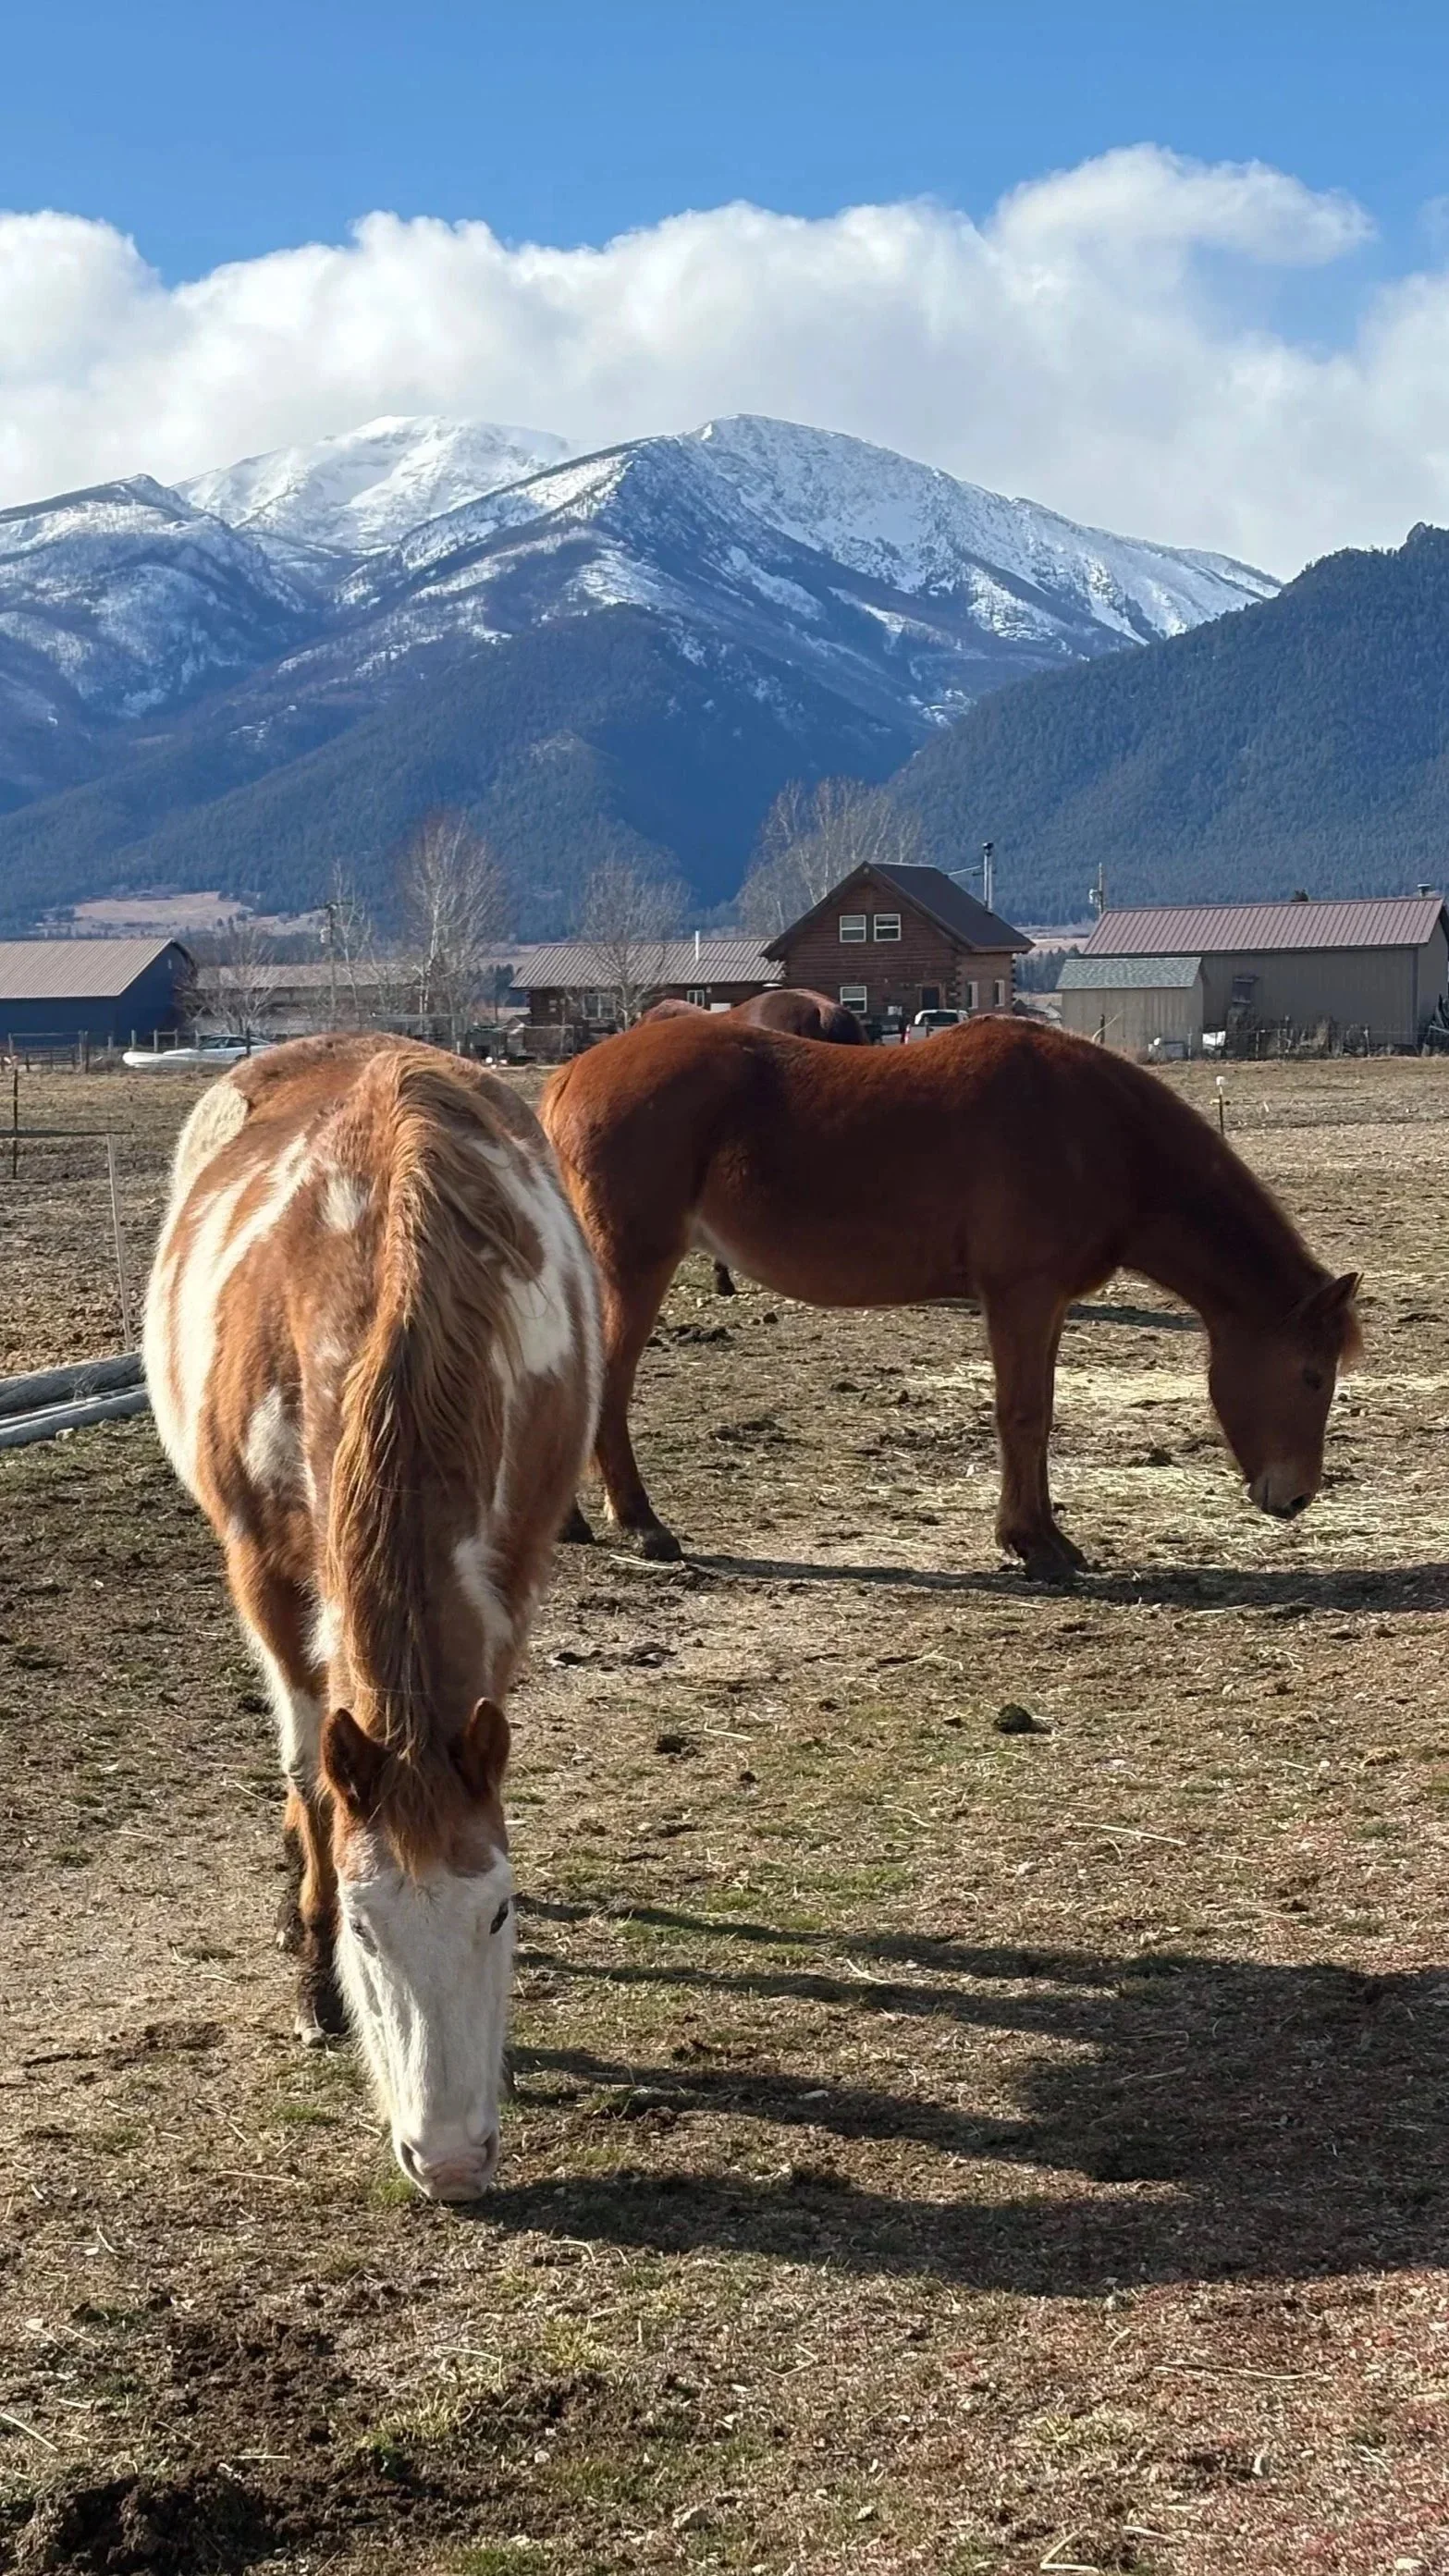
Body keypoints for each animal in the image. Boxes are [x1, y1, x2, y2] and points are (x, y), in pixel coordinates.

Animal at [144, 1034, 600, 2200]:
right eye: (364, 1923)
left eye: (499, 1907)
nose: (450, 2161)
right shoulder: (265, 1573)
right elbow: (312, 1774)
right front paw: (314, 1977)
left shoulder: (513, 1573)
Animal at [542, 1012, 1360, 1576]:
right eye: (1310, 1376)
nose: (1296, 1498)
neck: (1096, 1133)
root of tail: (571, 1073)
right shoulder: (1021, 1297)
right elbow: (1021, 1416)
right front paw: (1032, 1544)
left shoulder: (1046, 1305)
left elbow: (1039, 1415)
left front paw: (1044, 1535)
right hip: (634, 1265)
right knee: (606, 1384)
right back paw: (640, 1523)